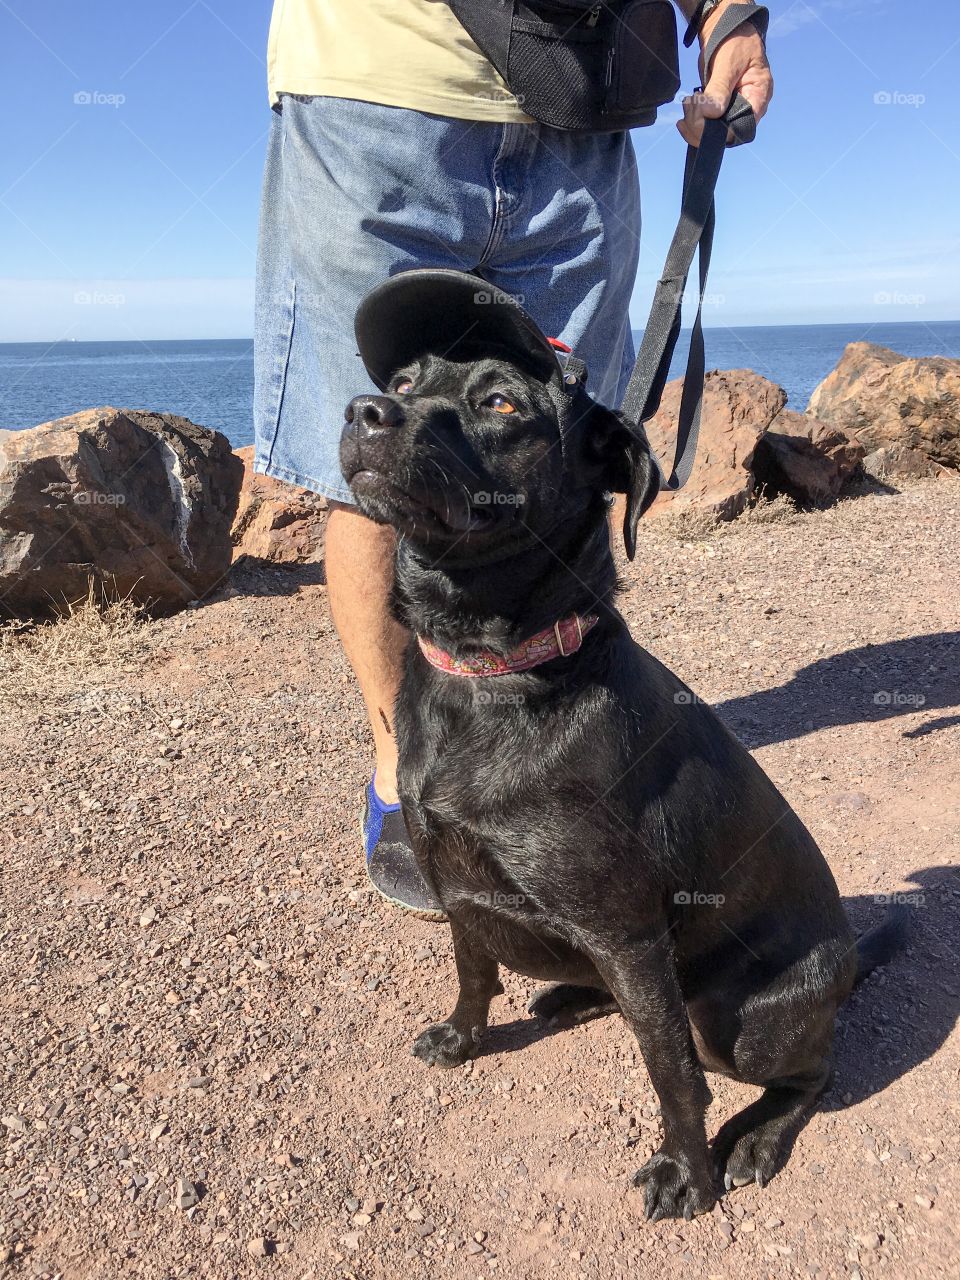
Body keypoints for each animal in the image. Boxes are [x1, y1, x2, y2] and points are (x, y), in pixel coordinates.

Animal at [340, 267, 911, 1218]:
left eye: (500, 403)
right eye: (407, 382)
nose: (363, 410)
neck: (489, 670)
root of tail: (845, 968)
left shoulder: (630, 935)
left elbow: (671, 1072)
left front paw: (688, 1171)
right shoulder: (456, 883)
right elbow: (473, 971)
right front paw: (464, 1037)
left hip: (738, 1019)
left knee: (808, 1072)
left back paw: (755, 1139)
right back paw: (565, 998)